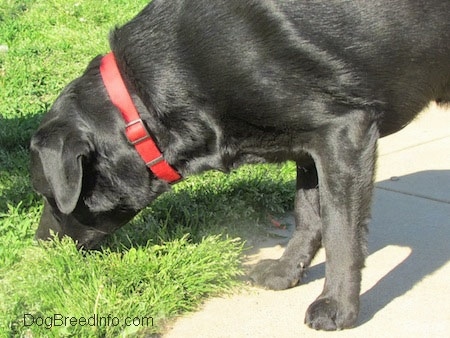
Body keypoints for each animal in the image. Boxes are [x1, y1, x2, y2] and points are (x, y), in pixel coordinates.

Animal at [29, 0, 448, 332]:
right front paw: (286, 272)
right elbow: (308, 214)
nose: (39, 248)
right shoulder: (308, 142)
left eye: (50, 197)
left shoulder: (345, 130)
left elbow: (340, 231)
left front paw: (337, 308)